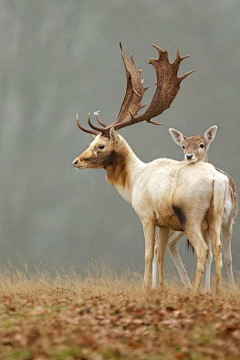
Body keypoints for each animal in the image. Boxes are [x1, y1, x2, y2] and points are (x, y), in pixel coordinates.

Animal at [153, 126, 237, 292]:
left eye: (201, 145)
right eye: (183, 146)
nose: (189, 156)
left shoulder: (229, 220)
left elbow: (227, 258)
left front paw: (228, 287)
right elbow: (211, 255)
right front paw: (208, 290)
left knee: (167, 244)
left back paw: (182, 284)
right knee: (159, 245)